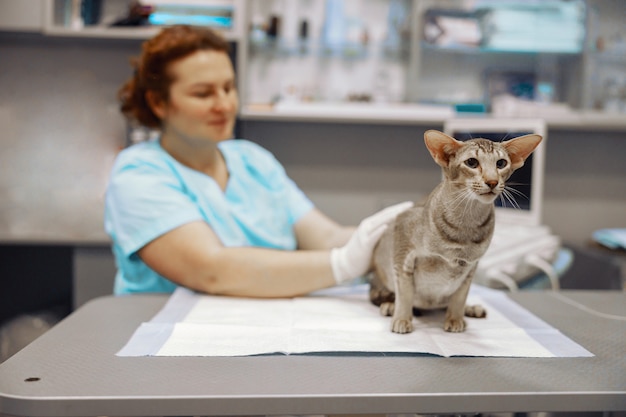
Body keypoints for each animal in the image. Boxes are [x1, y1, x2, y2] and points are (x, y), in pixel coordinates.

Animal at [368, 128, 540, 334]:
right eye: (472, 162)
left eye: (501, 163)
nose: (492, 181)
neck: (465, 227)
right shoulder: (403, 246)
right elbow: (405, 292)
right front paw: (402, 318)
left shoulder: (470, 266)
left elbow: (459, 297)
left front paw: (455, 318)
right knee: (382, 294)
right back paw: (390, 305)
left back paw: (471, 309)